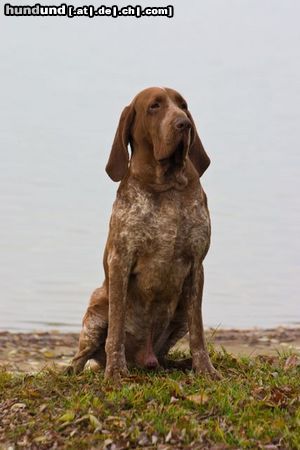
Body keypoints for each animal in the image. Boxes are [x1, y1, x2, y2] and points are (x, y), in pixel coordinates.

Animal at [70, 87, 220, 380]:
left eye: (183, 105)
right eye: (154, 106)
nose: (183, 123)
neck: (166, 186)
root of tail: (144, 358)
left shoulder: (197, 265)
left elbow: (198, 333)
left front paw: (204, 368)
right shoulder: (120, 260)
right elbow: (116, 329)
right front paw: (116, 371)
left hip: (179, 314)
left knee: (166, 353)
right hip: (96, 308)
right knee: (81, 356)